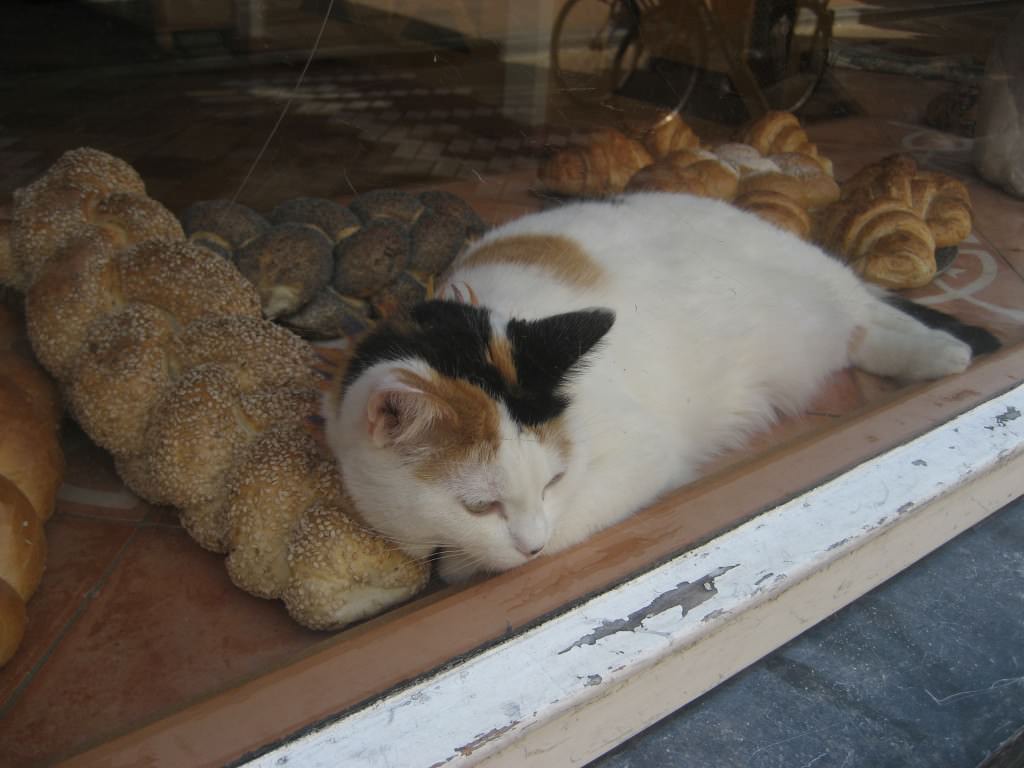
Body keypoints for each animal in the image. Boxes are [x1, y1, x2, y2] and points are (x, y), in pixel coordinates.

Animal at [321, 192, 999, 581]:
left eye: (554, 481)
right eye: (480, 505)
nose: (530, 548)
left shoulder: (641, 457)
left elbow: (566, 526)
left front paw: (472, 563)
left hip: (818, 280)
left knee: (868, 310)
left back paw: (944, 351)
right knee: (864, 325)